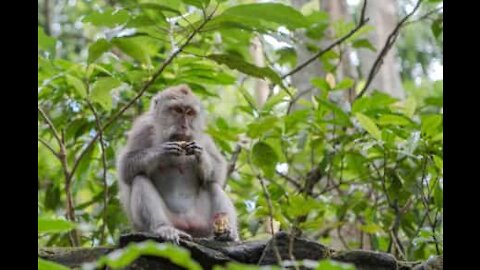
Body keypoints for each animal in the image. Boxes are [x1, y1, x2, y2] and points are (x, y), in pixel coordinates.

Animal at [117, 84, 239, 243]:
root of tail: (186, 225)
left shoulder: (203, 135)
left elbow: (218, 171)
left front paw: (201, 155)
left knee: (212, 184)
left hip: (202, 225)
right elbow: (126, 167)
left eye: (190, 112)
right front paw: (162, 151)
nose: (184, 126)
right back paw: (162, 228)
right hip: (156, 223)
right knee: (140, 178)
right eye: (178, 110)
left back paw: (228, 234)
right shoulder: (143, 129)